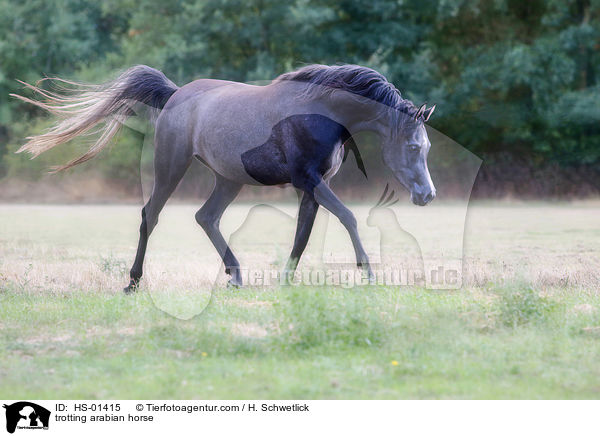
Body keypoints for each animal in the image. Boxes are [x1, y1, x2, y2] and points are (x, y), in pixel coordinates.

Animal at [12, 63, 436, 292]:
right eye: (414, 147)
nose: (428, 196)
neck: (320, 111)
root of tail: (175, 93)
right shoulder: (310, 181)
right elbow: (348, 217)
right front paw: (369, 274)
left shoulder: (312, 187)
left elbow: (302, 235)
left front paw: (285, 281)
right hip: (171, 167)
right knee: (151, 215)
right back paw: (132, 282)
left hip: (228, 180)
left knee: (207, 217)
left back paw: (235, 276)